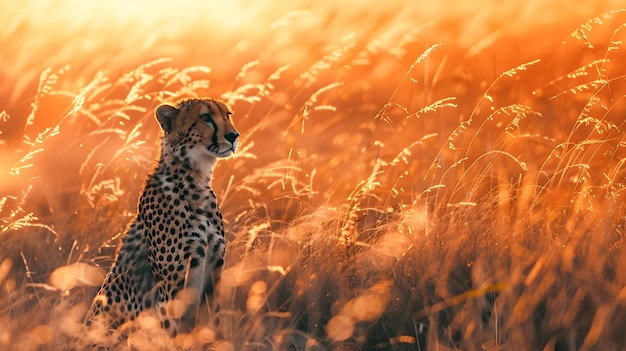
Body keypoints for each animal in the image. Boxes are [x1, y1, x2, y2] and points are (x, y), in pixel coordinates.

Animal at [83, 97, 239, 340]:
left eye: (227, 115)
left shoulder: (213, 278)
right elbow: (172, 335)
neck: (195, 180)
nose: (234, 136)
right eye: (205, 117)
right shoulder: (171, 292)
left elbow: (215, 327)